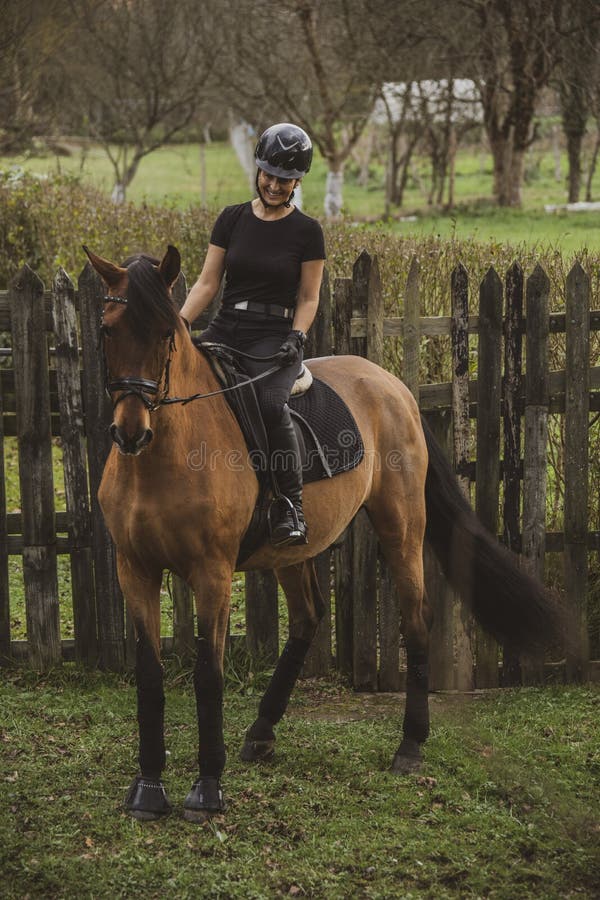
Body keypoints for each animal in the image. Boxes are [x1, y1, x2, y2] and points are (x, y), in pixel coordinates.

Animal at [84, 246, 564, 824]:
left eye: (164, 335)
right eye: (108, 330)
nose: (131, 432)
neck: (165, 456)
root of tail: (393, 387)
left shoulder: (212, 573)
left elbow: (207, 674)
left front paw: (207, 788)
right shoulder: (134, 569)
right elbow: (150, 675)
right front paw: (148, 788)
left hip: (401, 525)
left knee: (415, 619)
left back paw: (409, 745)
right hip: (292, 551)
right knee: (309, 618)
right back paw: (262, 732)